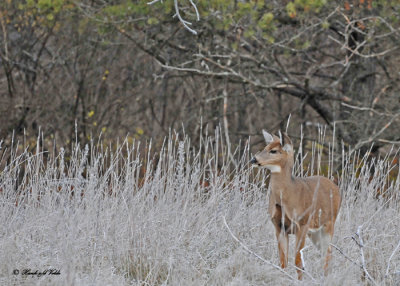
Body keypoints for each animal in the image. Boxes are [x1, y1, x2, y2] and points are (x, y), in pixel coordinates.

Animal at [250, 131, 340, 280]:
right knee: (325, 253)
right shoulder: (279, 226)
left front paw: (299, 280)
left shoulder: (302, 223)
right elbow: (283, 261)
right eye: (265, 147)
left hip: (328, 224)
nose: (253, 160)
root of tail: (335, 187)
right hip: (314, 232)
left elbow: (298, 261)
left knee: (328, 254)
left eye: (274, 150)